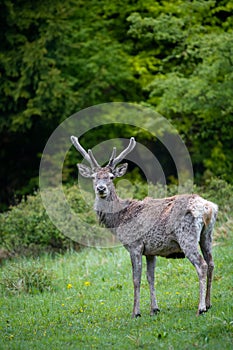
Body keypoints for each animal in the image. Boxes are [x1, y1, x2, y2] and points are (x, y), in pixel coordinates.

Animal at [70, 135, 218, 316]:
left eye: (111, 177)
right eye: (93, 177)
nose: (101, 188)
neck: (119, 219)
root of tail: (208, 208)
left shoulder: (135, 245)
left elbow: (136, 279)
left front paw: (136, 312)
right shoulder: (151, 251)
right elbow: (150, 277)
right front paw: (154, 308)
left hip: (187, 236)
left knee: (201, 265)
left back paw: (201, 307)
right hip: (207, 235)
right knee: (211, 263)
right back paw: (209, 303)